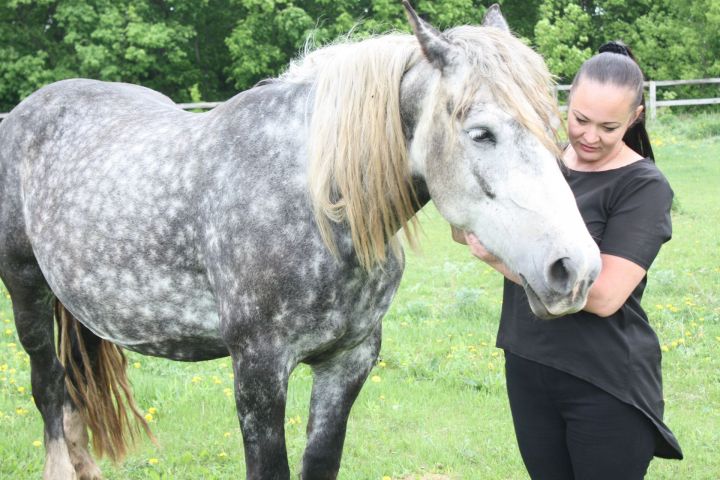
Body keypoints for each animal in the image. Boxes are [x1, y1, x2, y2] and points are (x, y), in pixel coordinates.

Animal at [0, 3, 600, 480]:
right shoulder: (259, 370)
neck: (315, 203)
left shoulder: (348, 362)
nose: (575, 270)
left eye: (556, 127)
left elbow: (320, 462)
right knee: (48, 386)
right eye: (481, 133)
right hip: (27, 289)